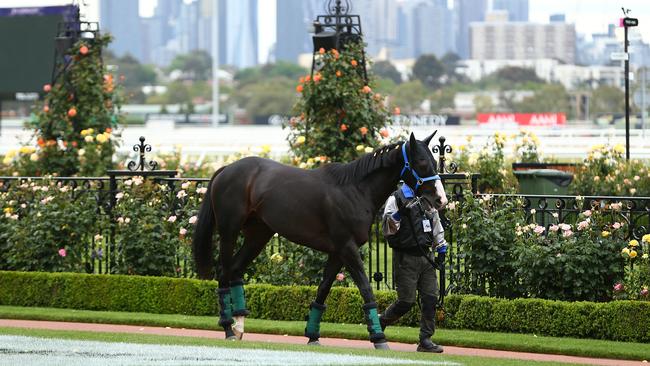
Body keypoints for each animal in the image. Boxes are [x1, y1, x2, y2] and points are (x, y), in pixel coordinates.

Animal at [192, 132, 446, 348]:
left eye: (434, 162)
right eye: (421, 163)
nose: (440, 199)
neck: (354, 189)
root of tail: (226, 169)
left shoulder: (337, 252)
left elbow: (323, 289)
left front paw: (313, 335)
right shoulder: (347, 247)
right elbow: (366, 288)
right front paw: (378, 337)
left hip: (258, 235)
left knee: (235, 269)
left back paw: (239, 327)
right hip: (229, 231)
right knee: (224, 272)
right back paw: (227, 328)